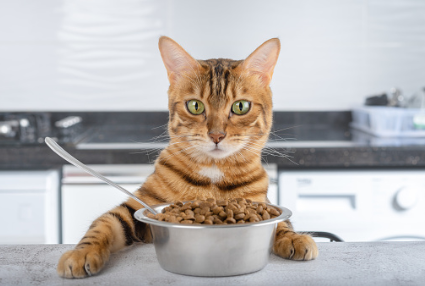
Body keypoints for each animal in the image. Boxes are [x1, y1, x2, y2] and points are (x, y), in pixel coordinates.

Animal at [56, 36, 316, 280]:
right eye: (195, 106)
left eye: (241, 106)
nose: (217, 135)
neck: (213, 172)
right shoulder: (137, 206)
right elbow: (102, 226)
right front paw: (79, 254)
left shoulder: (262, 202)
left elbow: (282, 223)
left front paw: (296, 238)